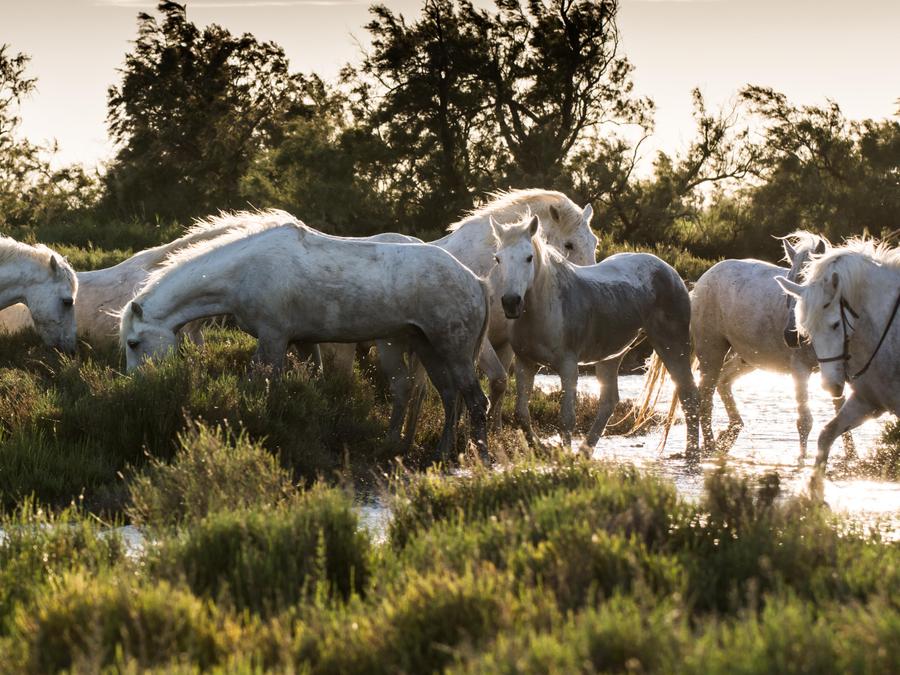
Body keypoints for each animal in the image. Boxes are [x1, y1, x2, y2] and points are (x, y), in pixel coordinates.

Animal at [119, 214, 491, 461]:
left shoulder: (273, 339)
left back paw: (482, 458)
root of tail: (475, 280)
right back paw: (434, 451)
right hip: (427, 347)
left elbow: (259, 384)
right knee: (447, 395)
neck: (245, 272)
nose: (139, 389)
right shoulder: (302, 342)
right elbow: (311, 384)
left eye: (133, 343)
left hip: (453, 350)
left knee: (475, 400)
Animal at [379, 189, 598, 446]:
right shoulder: (479, 344)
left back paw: (409, 437)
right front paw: (469, 437)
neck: (493, 271)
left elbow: (498, 387)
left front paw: (493, 432)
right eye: (569, 244)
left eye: (595, 242)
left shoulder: (505, 344)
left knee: (418, 387)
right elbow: (496, 381)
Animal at [491, 214, 699, 455]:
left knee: (689, 394)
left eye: (528, 257)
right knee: (609, 401)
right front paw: (543, 449)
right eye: (498, 259)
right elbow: (521, 414)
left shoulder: (568, 367)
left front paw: (563, 456)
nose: (511, 302)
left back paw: (693, 452)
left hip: (672, 345)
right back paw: (585, 450)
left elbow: (566, 419)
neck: (544, 308)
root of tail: (670, 272)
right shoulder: (525, 363)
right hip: (612, 355)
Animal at [690, 232, 854, 458]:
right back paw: (710, 446)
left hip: (748, 358)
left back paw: (730, 432)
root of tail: (706, 276)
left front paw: (853, 456)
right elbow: (804, 421)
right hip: (711, 352)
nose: (793, 337)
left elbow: (842, 412)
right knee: (705, 397)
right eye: (789, 290)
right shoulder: (800, 369)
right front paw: (802, 459)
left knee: (724, 381)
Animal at [777, 238, 900, 493]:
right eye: (808, 331)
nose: (831, 386)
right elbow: (826, 435)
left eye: (835, 324)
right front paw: (814, 491)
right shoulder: (867, 402)